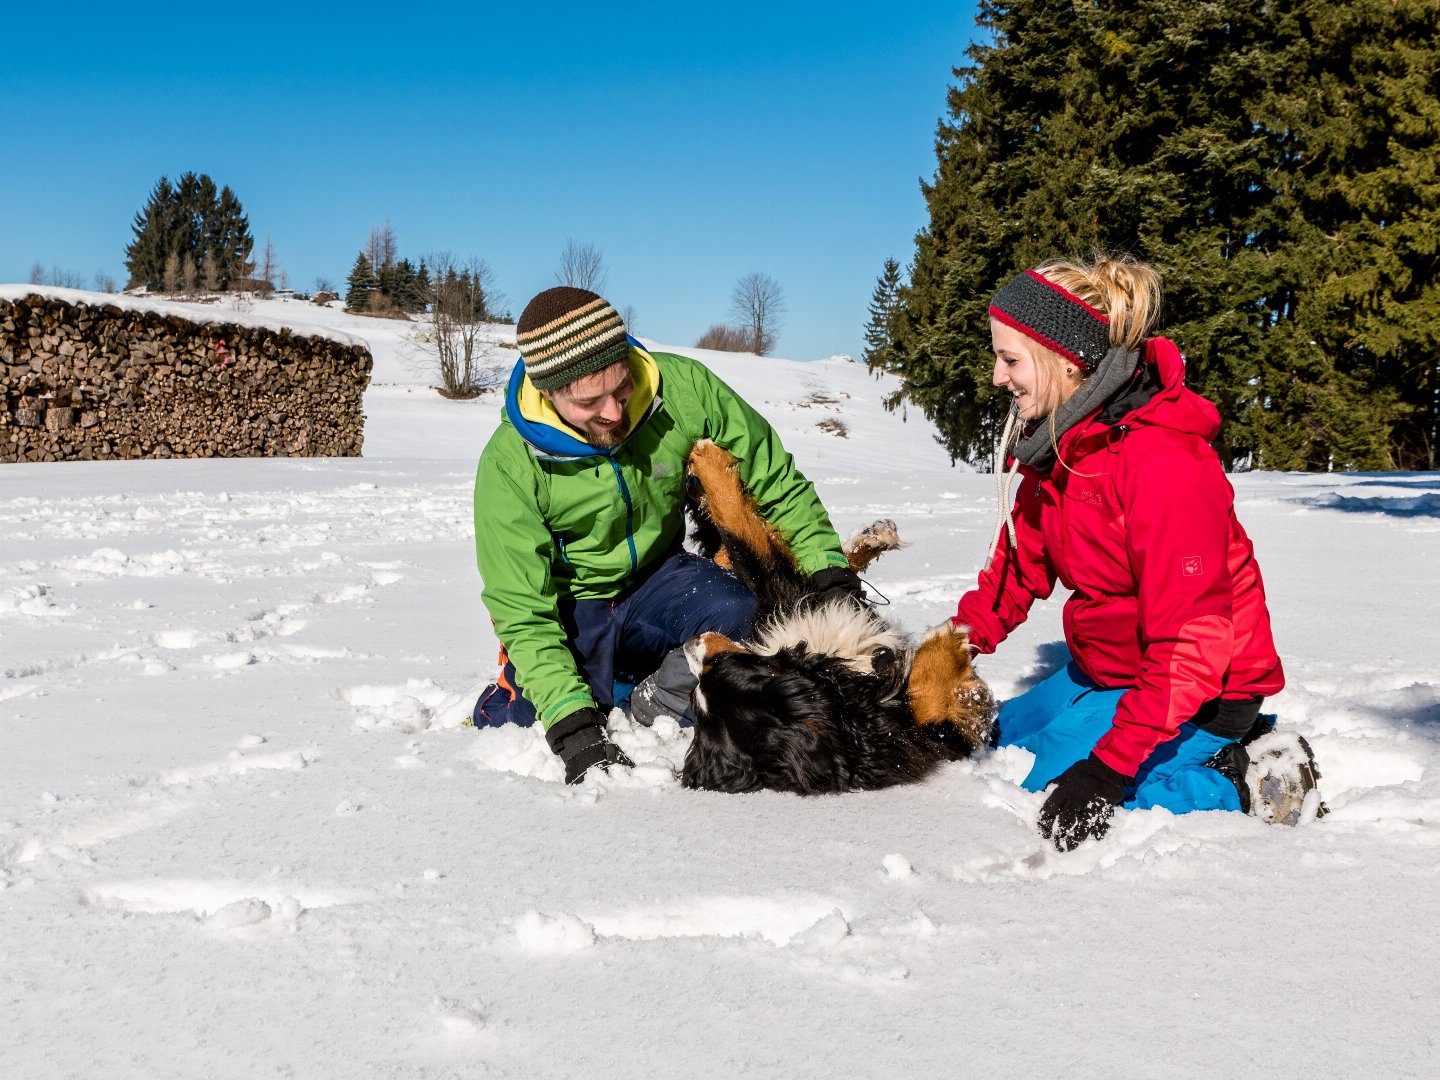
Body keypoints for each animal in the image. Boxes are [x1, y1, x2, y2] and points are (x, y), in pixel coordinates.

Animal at [673, 434, 990, 800]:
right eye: (693, 696)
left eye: (720, 664)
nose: (690, 641)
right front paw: (950, 643)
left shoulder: (789, 601)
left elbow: (740, 529)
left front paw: (707, 459)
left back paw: (876, 535)